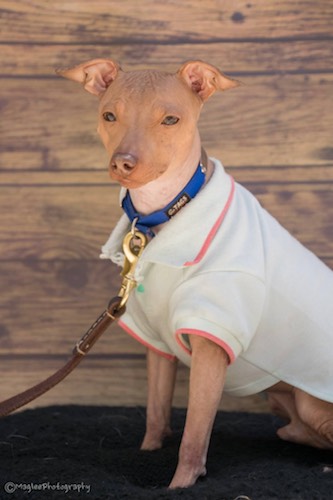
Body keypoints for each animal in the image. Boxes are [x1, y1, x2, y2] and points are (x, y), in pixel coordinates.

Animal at [58, 61, 332, 488]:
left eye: (171, 119)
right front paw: (149, 454)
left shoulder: (211, 345)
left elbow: (193, 437)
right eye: (109, 116)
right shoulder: (156, 344)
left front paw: (180, 485)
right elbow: (156, 414)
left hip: (309, 399)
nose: (124, 162)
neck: (163, 214)